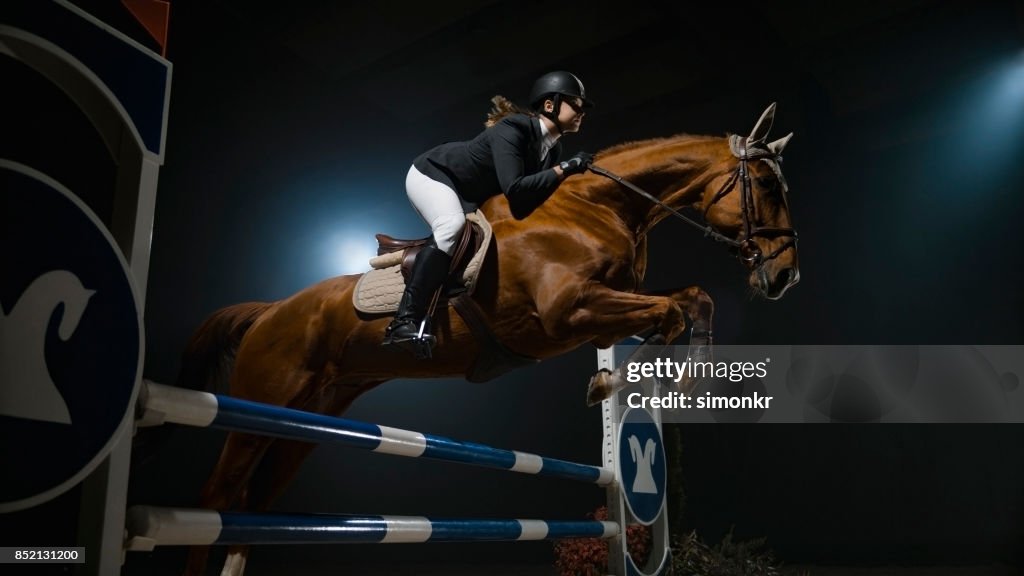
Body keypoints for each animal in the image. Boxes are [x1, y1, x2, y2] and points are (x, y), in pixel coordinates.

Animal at [177, 103, 799, 575]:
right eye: (768, 184)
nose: (786, 276)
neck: (599, 208)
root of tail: (270, 312)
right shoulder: (570, 312)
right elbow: (668, 312)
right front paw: (610, 383)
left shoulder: (607, 306)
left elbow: (694, 299)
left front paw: (672, 374)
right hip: (262, 402)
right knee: (215, 501)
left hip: (308, 422)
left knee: (253, 507)